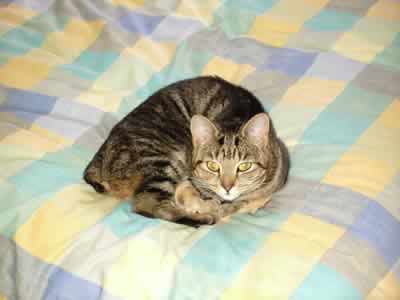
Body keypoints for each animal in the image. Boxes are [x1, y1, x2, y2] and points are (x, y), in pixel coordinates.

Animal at [84, 75, 290, 225]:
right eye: (212, 166)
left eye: (244, 166)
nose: (227, 187)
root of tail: (97, 162)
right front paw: (211, 207)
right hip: (162, 160)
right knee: (150, 205)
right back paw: (202, 217)